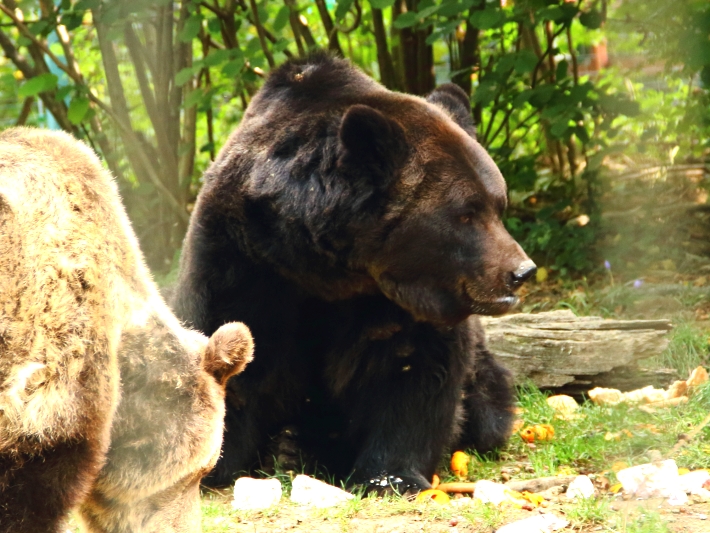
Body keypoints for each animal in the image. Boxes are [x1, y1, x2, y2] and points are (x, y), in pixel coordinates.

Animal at [174, 53, 536, 490]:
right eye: (467, 213)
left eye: (498, 204)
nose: (521, 271)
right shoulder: (243, 260)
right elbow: (235, 352)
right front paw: (215, 463)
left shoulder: (406, 300)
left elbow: (412, 370)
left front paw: (391, 475)